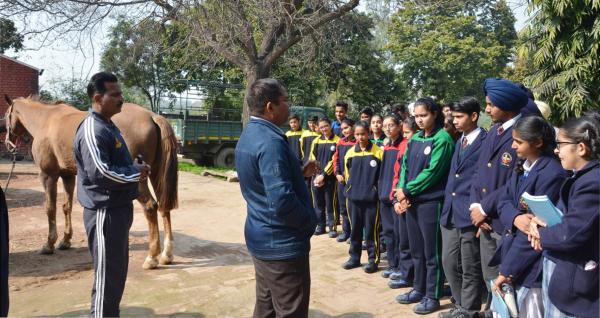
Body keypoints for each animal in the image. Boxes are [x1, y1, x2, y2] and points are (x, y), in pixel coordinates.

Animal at [4, 96, 178, 268]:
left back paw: (152, 258)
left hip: (138, 179)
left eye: (6, 116)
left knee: (150, 207)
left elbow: (50, 209)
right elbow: (66, 207)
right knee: (163, 207)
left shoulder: (48, 176)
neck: (45, 120)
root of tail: (151, 116)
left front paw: (49, 244)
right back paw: (166, 255)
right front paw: (65, 241)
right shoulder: (68, 176)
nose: (7, 143)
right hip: (156, 175)